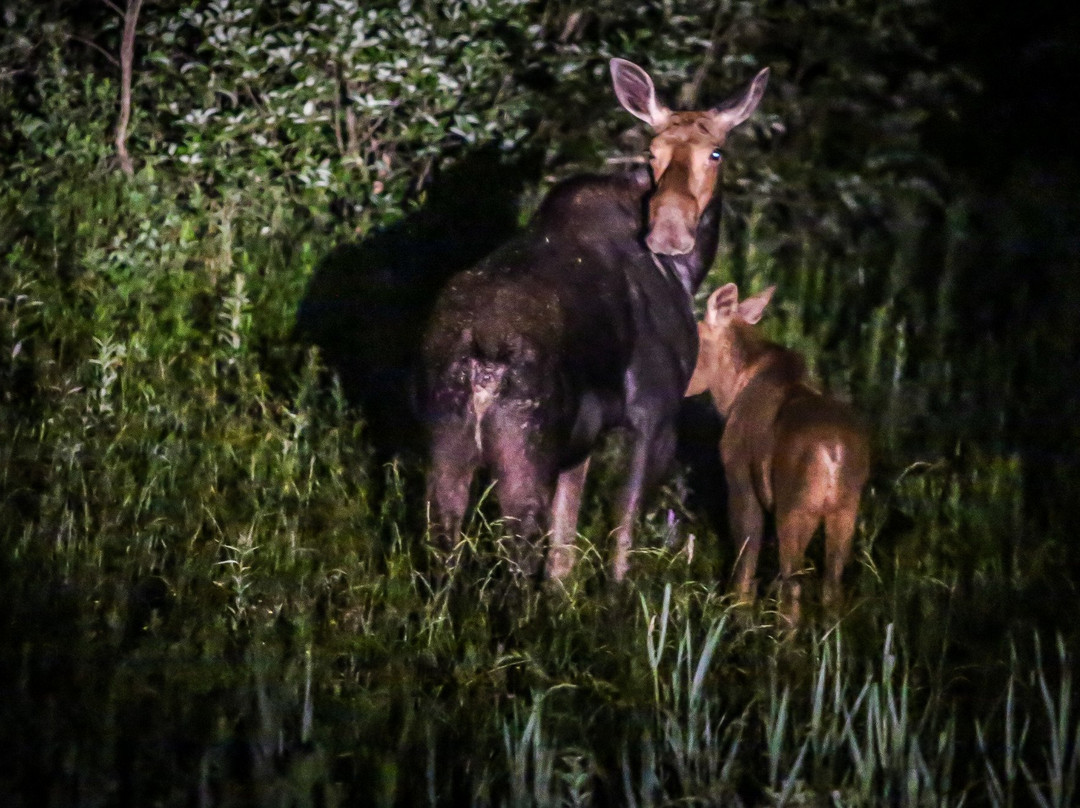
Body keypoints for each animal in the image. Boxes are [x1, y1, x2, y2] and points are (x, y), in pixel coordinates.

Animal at [420, 58, 769, 583]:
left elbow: (563, 551)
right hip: (523, 449)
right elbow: (620, 540)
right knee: (517, 550)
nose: (670, 233)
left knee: (441, 547)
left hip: (448, 443)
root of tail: (481, 357)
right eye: (651, 151)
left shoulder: (583, 440)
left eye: (715, 152)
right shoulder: (654, 414)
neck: (688, 271)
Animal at [686, 283, 870, 624]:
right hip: (844, 508)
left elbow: (745, 565)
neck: (731, 392)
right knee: (831, 586)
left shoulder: (741, 482)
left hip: (795, 507)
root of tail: (835, 454)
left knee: (792, 585)